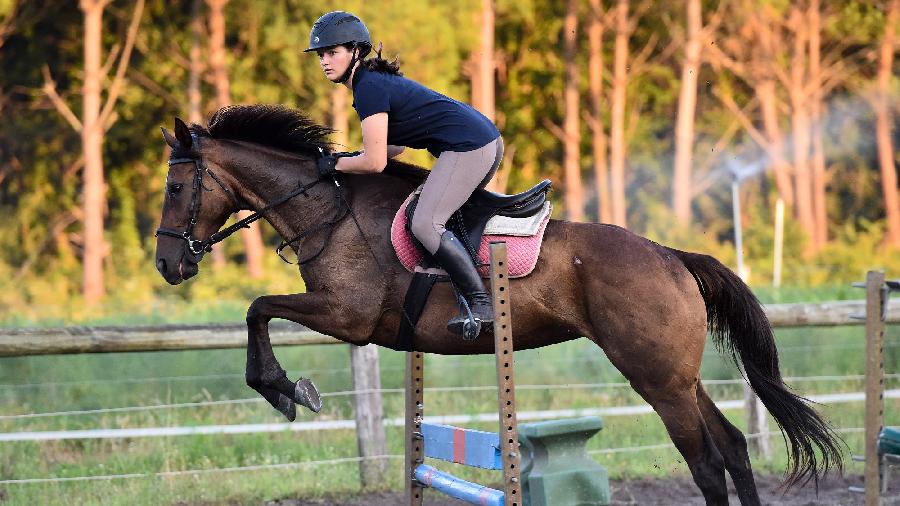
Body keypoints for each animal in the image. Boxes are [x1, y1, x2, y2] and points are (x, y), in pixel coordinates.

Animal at [156, 105, 844, 504]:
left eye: (176, 187)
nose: (169, 265)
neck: (329, 210)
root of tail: (671, 256)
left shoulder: (347, 316)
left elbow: (257, 308)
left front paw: (283, 389)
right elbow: (259, 310)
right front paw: (283, 388)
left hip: (656, 377)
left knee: (705, 461)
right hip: (676, 373)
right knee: (732, 448)